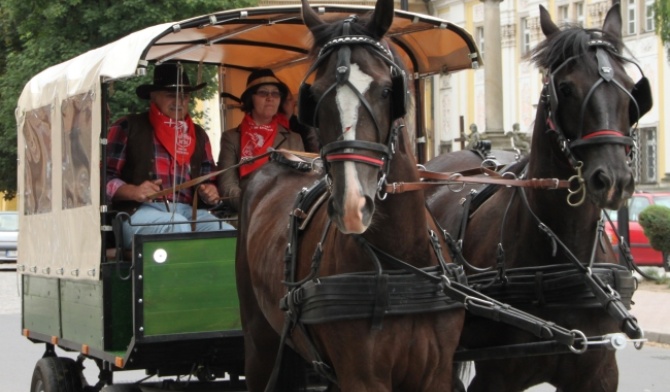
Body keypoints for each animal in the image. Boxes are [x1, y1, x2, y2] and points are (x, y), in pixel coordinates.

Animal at [236, 1, 468, 390]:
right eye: (315, 96)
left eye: (388, 91)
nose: (352, 206)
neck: (401, 262)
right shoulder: (361, 376)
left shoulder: (435, 373)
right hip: (259, 346)